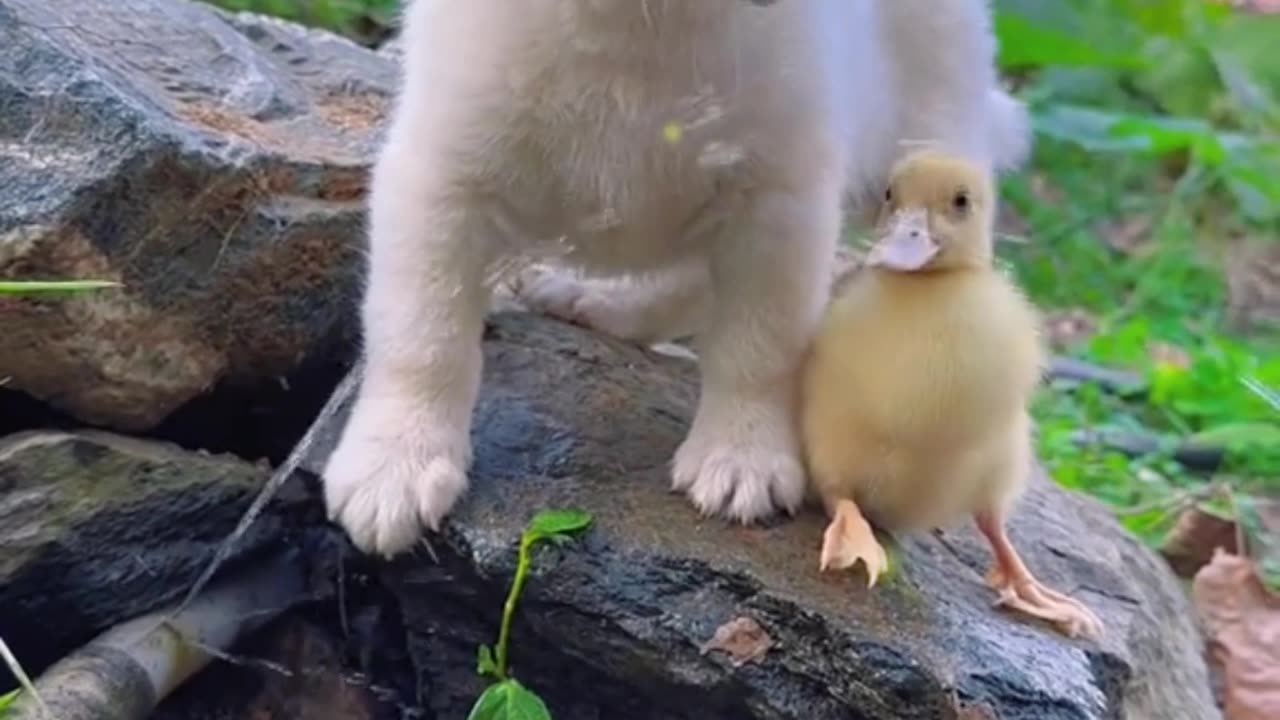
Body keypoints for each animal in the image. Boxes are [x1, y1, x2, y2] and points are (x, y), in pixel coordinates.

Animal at [325, 0, 1034, 556]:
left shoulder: (775, 199)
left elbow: (760, 347)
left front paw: (743, 454)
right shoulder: (442, 177)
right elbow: (424, 333)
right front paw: (395, 461)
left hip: (928, 129)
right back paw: (598, 300)